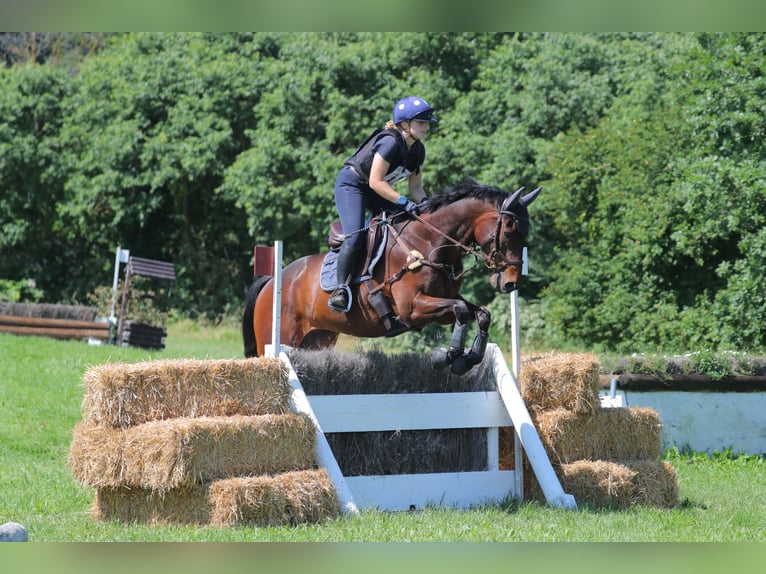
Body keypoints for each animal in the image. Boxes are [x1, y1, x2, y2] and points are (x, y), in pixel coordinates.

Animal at [243, 181, 544, 378]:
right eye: (509, 230)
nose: (511, 283)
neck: (428, 242)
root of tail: (272, 282)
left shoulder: (441, 304)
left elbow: (480, 314)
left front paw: (467, 359)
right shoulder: (412, 309)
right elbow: (461, 310)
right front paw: (447, 356)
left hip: (318, 340)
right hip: (278, 338)